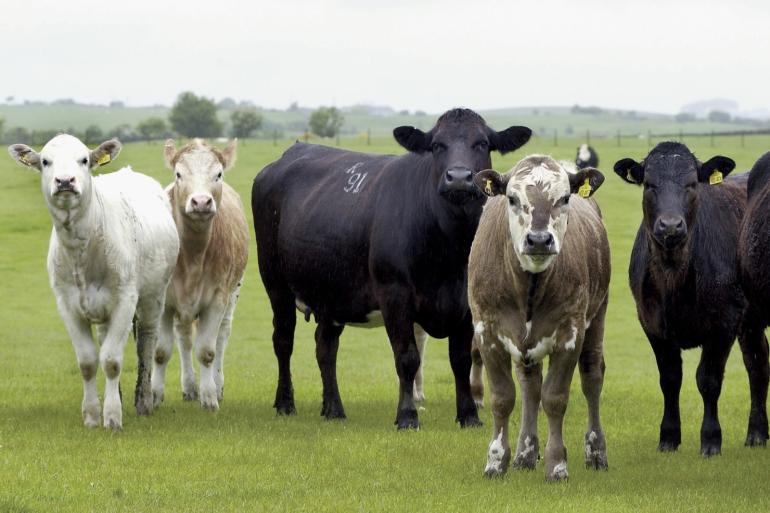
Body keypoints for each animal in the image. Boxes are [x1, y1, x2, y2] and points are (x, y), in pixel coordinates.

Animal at [7, 133, 178, 428]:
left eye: (84, 160)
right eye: (45, 161)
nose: (65, 181)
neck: (82, 248)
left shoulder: (125, 300)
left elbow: (111, 360)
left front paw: (112, 417)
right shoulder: (67, 304)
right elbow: (88, 361)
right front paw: (91, 414)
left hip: (153, 296)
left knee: (146, 343)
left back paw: (144, 401)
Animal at [148, 138, 248, 410]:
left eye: (218, 174)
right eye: (179, 174)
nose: (201, 202)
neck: (192, 253)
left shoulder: (217, 299)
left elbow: (207, 351)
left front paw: (209, 396)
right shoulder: (164, 301)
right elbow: (161, 351)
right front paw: (155, 394)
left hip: (233, 295)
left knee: (221, 337)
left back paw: (216, 384)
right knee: (183, 339)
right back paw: (189, 386)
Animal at [250, 107, 528, 428]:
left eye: (482, 143)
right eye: (437, 145)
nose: (458, 178)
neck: (449, 248)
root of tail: (291, 152)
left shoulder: (466, 302)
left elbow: (460, 358)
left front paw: (469, 414)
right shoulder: (395, 295)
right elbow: (407, 358)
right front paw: (407, 416)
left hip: (332, 292)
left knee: (325, 347)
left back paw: (333, 408)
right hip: (275, 283)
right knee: (283, 339)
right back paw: (285, 402)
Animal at [464, 155, 608, 480]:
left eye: (565, 198)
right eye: (512, 198)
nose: (539, 240)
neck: (528, 287)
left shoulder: (570, 335)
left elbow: (554, 399)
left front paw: (557, 464)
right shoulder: (487, 333)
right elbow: (503, 398)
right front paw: (496, 460)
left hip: (597, 319)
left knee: (592, 378)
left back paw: (596, 452)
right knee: (530, 386)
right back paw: (525, 453)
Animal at [612, 141, 768, 456]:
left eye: (692, 184)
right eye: (649, 184)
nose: (670, 226)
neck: (674, 277)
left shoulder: (724, 323)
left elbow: (708, 380)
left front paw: (710, 439)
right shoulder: (651, 323)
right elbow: (670, 379)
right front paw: (669, 437)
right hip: (751, 322)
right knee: (758, 364)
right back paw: (758, 434)